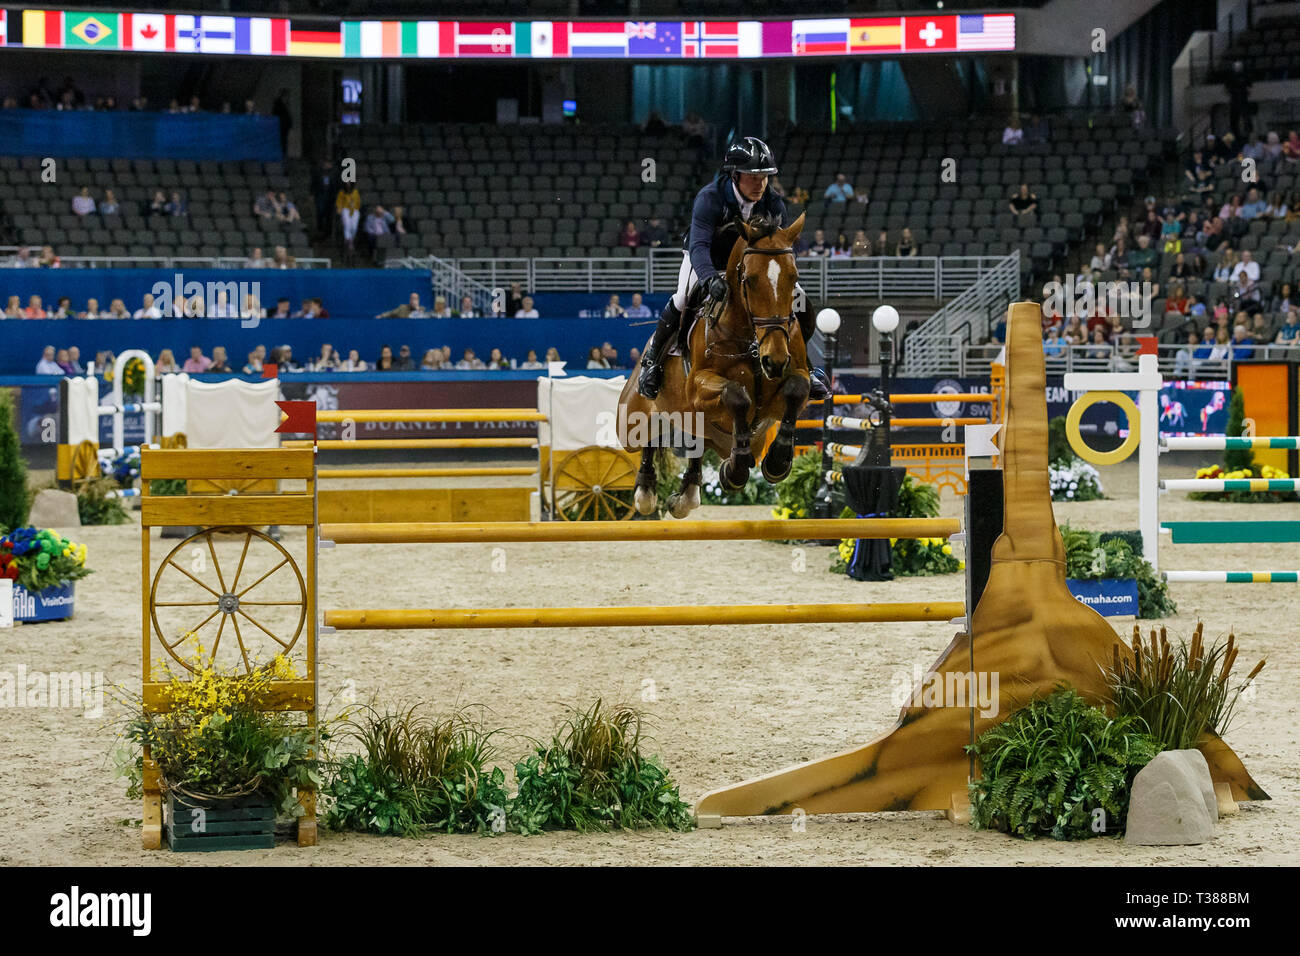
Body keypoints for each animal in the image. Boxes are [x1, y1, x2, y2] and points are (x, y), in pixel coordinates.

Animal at [621, 214, 811, 520]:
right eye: (750, 280)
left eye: (793, 278)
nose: (774, 360)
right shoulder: (698, 386)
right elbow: (736, 395)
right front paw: (735, 470)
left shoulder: (795, 377)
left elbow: (797, 389)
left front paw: (778, 461)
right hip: (630, 421)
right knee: (649, 434)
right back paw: (646, 490)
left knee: (695, 441)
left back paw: (685, 494)